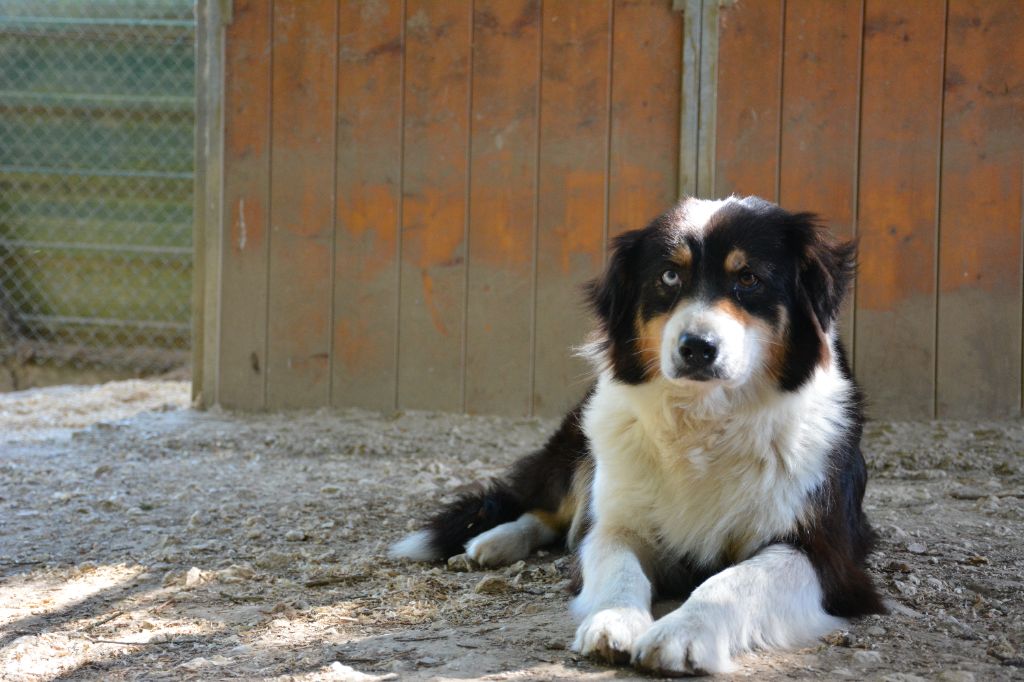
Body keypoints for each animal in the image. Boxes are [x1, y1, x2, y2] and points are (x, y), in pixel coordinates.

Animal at [391, 196, 884, 675]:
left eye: (748, 278)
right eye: (669, 275)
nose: (696, 348)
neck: (703, 418)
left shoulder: (826, 553)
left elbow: (733, 581)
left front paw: (683, 633)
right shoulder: (616, 521)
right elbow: (616, 564)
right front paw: (614, 622)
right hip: (578, 446)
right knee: (549, 509)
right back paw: (492, 542)